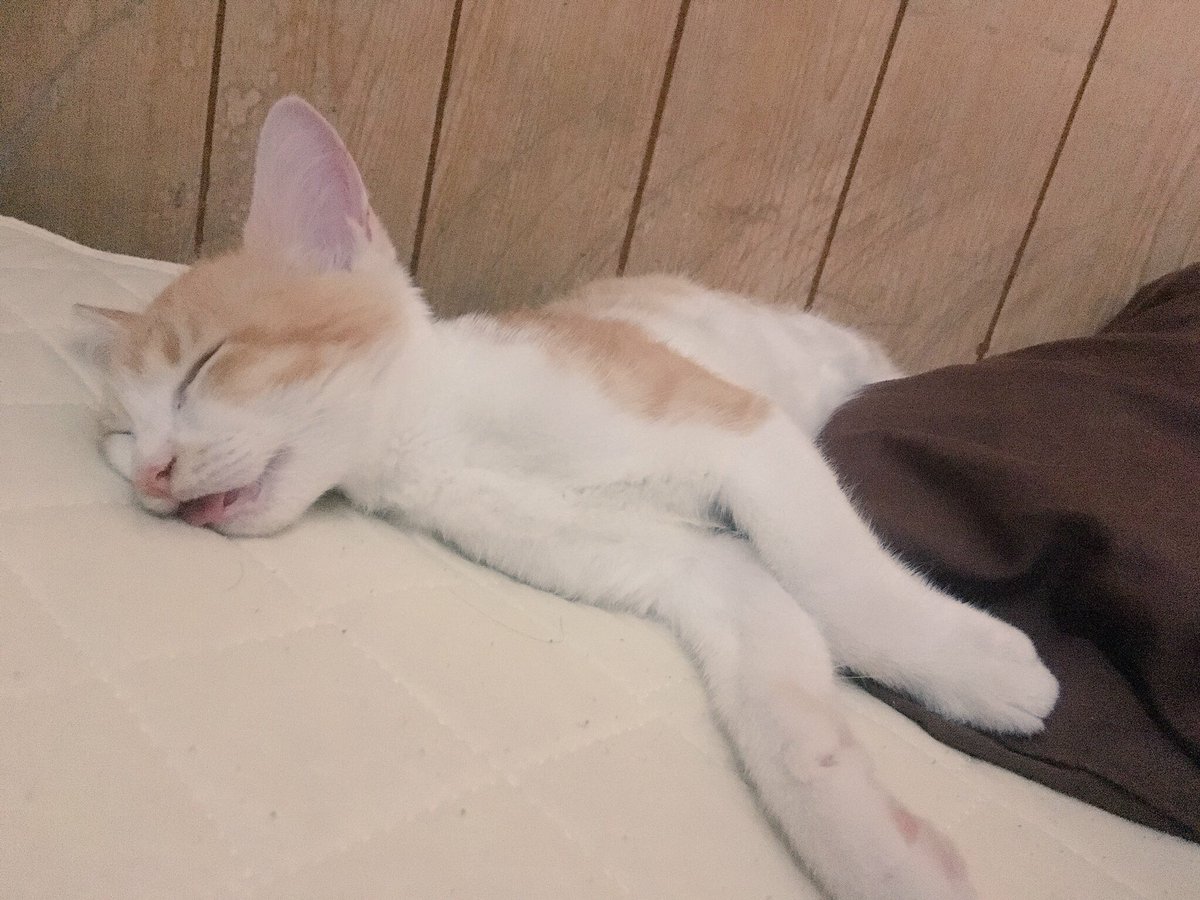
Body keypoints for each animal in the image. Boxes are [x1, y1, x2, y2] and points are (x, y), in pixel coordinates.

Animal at [76, 96, 1058, 900]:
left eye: (205, 367)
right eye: (123, 433)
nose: (154, 472)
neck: (443, 436)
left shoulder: (740, 430)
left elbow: (834, 578)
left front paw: (974, 665)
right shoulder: (690, 565)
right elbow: (777, 683)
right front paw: (875, 846)